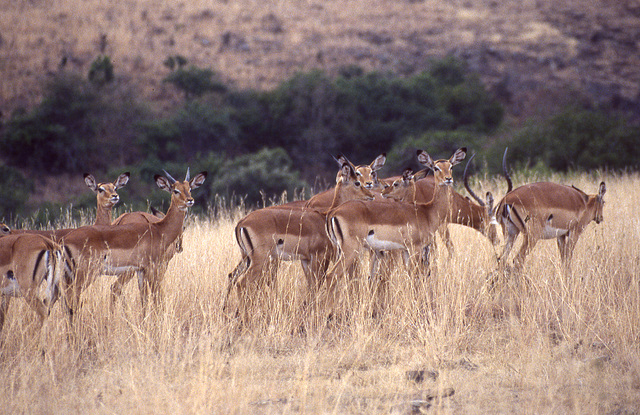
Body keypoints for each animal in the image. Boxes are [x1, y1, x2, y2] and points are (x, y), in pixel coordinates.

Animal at [59, 169, 206, 318]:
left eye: (189, 188)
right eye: (175, 190)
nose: (190, 200)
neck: (159, 230)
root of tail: (65, 240)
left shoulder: (141, 270)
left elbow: (145, 298)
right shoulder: (153, 268)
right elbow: (156, 296)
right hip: (86, 274)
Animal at [324, 148, 464, 308]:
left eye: (451, 166)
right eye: (436, 168)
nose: (448, 179)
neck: (427, 212)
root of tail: (334, 212)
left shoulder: (405, 250)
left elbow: (411, 276)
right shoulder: (415, 248)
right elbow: (415, 275)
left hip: (342, 251)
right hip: (351, 251)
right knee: (332, 275)